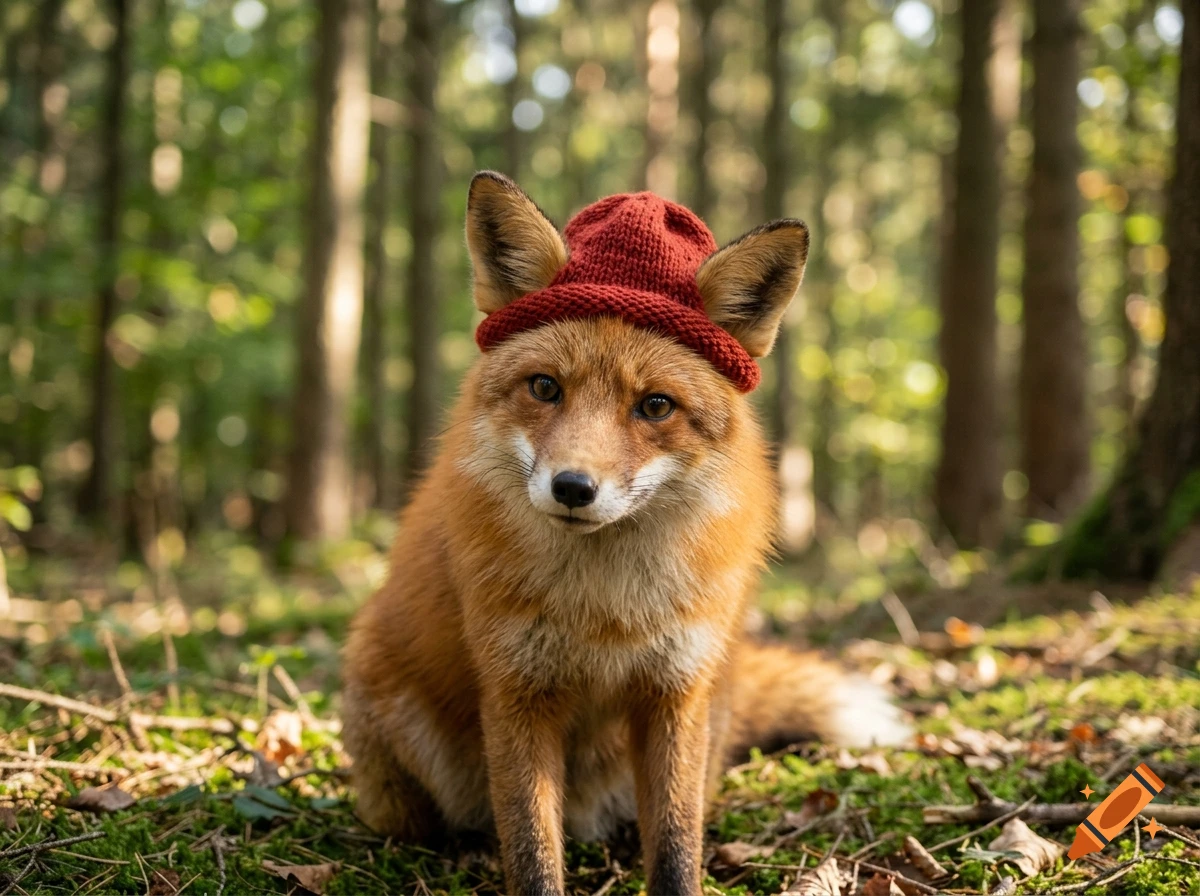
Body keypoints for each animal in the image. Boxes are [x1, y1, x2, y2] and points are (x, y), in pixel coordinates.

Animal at [341, 171, 910, 896]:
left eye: (655, 405)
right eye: (545, 387)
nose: (573, 488)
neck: (604, 609)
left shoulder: (674, 693)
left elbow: (674, 845)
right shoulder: (517, 692)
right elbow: (530, 848)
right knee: (448, 822)